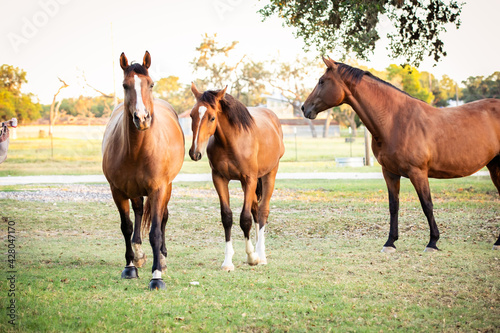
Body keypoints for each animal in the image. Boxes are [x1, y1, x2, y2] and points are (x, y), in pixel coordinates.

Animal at [102, 51, 185, 288]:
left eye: (151, 84)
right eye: (124, 85)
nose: (141, 118)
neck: (137, 151)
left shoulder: (158, 189)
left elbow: (156, 231)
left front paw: (156, 275)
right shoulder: (118, 191)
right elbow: (127, 226)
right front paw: (130, 266)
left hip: (167, 188)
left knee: (163, 218)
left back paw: (162, 258)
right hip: (134, 190)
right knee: (138, 212)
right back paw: (138, 254)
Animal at [188, 82, 286, 270]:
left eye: (212, 118)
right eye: (191, 115)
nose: (194, 153)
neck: (232, 142)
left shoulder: (249, 179)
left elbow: (245, 219)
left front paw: (252, 257)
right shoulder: (219, 179)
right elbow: (227, 217)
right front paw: (228, 262)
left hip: (269, 175)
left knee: (262, 212)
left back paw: (261, 255)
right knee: (256, 210)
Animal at [300, 57, 500, 252]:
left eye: (322, 81)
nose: (304, 108)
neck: (395, 121)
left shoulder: (418, 173)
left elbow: (427, 205)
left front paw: (432, 242)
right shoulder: (390, 173)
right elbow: (393, 206)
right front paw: (390, 242)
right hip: (494, 166)